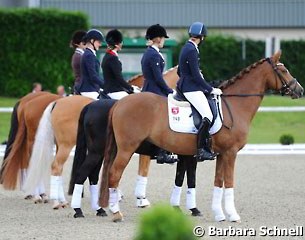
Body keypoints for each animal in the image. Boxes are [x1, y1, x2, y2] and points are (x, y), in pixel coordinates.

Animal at [99, 50, 302, 221]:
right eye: (283, 70)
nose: (299, 90)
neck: (235, 105)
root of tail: (119, 103)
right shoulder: (231, 153)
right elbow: (229, 182)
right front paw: (233, 215)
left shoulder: (221, 154)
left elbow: (217, 182)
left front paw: (219, 214)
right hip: (127, 148)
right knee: (114, 174)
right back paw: (116, 212)